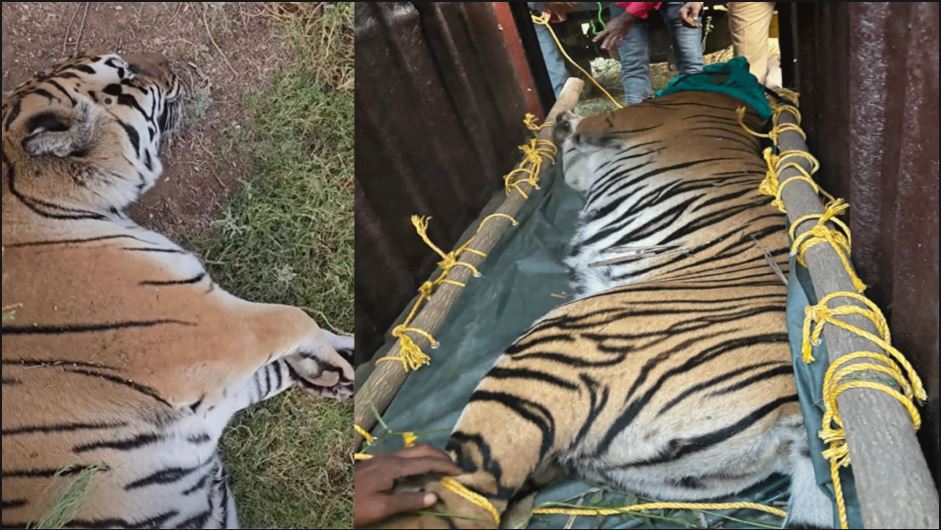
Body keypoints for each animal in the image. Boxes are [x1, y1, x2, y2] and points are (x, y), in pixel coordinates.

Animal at [1, 51, 354, 524]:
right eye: (125, 73)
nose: (172, 64)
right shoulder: (206, 337)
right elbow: (293, 318)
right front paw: (331, 362)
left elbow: (276, 364)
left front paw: (333, 366)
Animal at [380, 89, 828, 524]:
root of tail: (794, 414)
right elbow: (572, 158)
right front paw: (561, 124)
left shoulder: (621, 120)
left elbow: (582, 133)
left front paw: (563, 121)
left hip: (541, 360)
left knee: (468, 497)